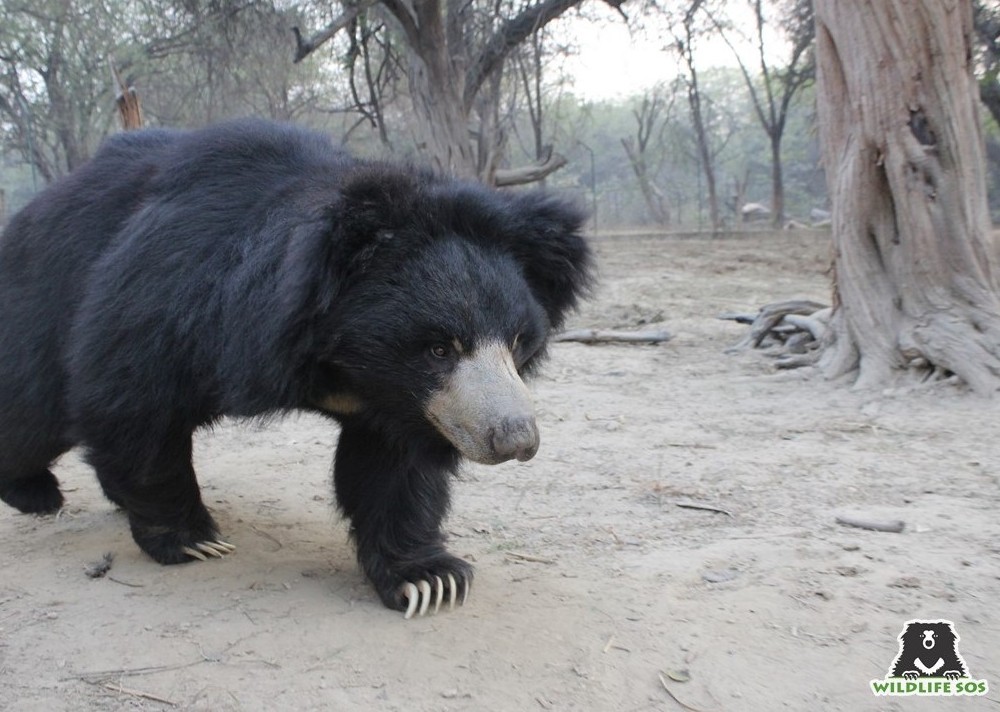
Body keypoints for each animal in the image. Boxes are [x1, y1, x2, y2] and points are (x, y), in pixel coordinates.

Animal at [0, 118, 588, 616]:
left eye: (518, 341)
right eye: (440, 348)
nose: (516, 439)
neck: (344, 364)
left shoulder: (405, 404)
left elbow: (394, 470)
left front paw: (427, 579)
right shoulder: (170, 300)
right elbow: (134, 401)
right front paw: (194, 539)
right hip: (44, 300)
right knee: (35, 409)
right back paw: (34, 491)